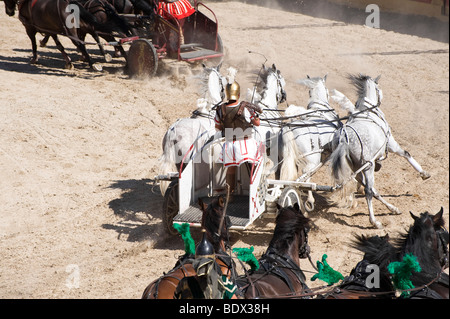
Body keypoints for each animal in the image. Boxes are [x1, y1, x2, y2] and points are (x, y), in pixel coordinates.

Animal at [328, 74, 430, 230]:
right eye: (379, 88)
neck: (367, 111)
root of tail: (344, 138)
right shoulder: (392, 144)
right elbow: (406, 154)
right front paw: (424, 173)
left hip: (356, 168)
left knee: (371, 189)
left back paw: (392, 209)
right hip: (367, 166)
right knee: (369, 191)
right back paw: (374, 221)